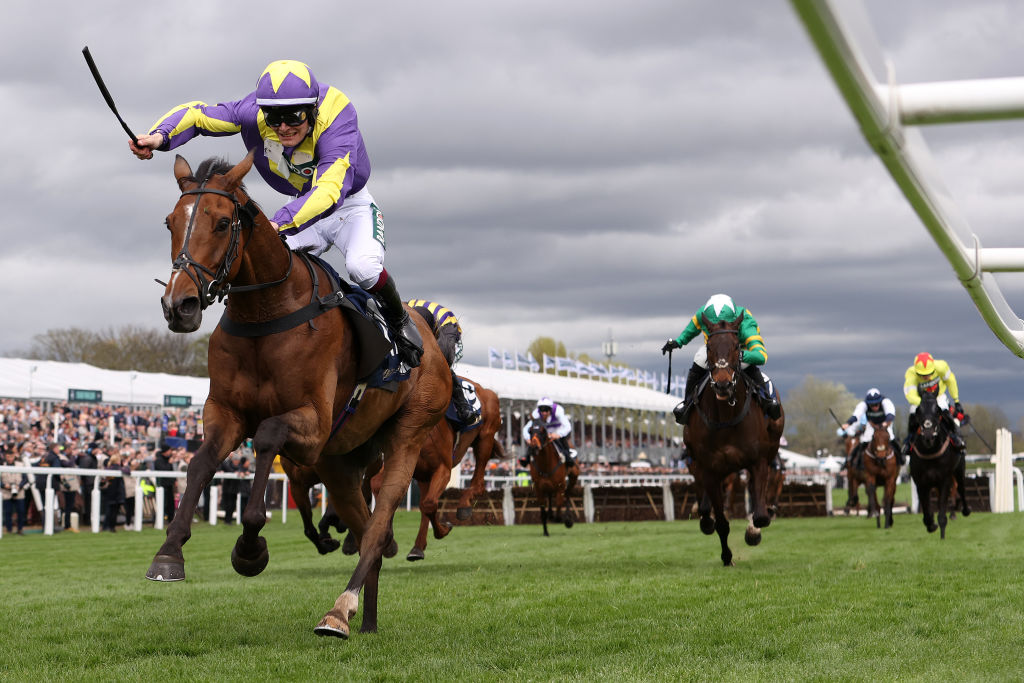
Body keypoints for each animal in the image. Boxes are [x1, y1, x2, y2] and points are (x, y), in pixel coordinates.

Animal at [146, 152, 450, 638]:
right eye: (170, 222)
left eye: (222, 222)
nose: (180, 305)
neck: (266, 313)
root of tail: (431, 337)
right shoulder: (225, 412)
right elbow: (200, 463)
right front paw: (169, 553)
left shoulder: (313, 424)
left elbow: (268, 435)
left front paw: (250, 547)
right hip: (341, 463)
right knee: (367, 530)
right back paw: (366, 621)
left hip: (407, 436)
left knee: (378, 527)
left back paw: (340, 611)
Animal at [684, 315, 786, 565]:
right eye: (709, 347)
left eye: (736, 347)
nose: (722, 383)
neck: (726, 415)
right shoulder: (710, 469)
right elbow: (721, 522)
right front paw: (726, 556)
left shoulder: (758, 462)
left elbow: (760, 515)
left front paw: (753, 531)